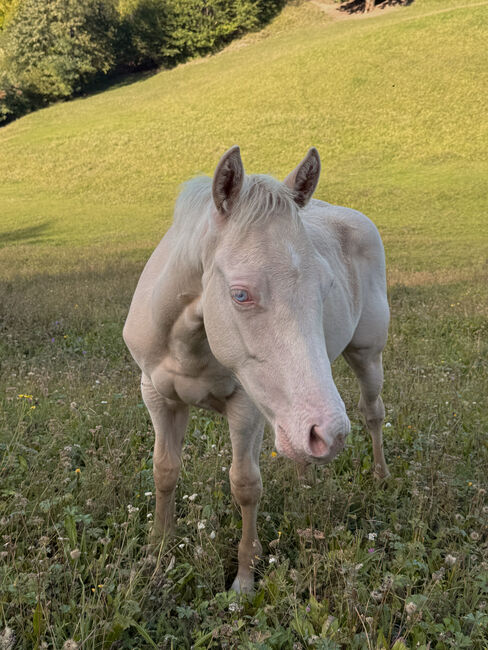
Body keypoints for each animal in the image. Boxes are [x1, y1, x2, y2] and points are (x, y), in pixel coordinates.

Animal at [123, 146, 390, 593]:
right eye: (241, 295)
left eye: (325, 288)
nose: (330, 435)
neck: (187, 342)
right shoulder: (157, 396)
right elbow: (164, 470)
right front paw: (158, 551)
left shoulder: (245, 406)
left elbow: (245, 485)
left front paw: (244, 580)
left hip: (366, 356)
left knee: (373, 413)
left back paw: (381, 475)